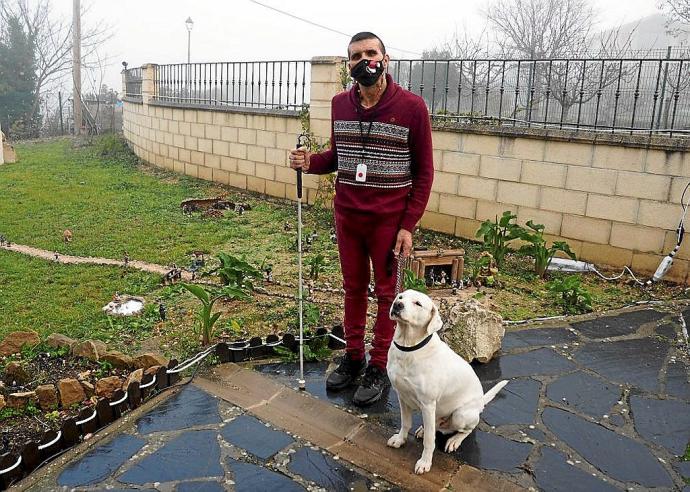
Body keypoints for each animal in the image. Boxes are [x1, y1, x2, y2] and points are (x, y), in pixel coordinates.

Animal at [384, 290, 508, 474]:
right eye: (400, 297)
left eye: (418, 303)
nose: (397, 305)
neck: (408, 347)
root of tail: (481, 402)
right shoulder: (402, 396)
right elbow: (405, 423)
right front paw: (400, 440)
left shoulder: (428, 404)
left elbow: (430, 441)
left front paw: (425, 462)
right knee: (435, 426)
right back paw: (424, 429)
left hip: (460, 415)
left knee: (467, 429)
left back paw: (454, 440)